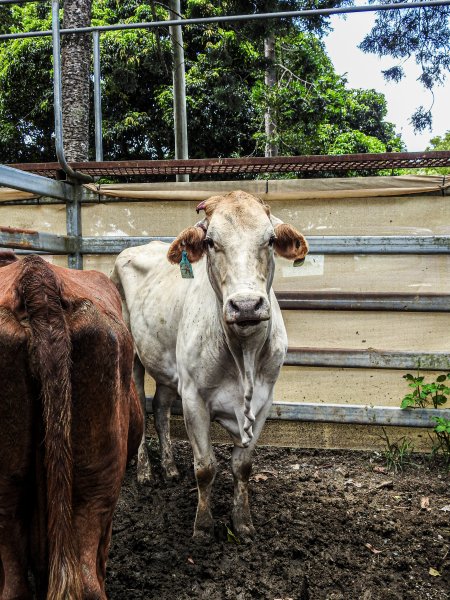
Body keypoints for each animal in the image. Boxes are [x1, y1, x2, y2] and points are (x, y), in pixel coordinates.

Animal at [112, 191, 310, 540]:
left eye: (271, 239)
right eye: (210, 242)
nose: (246, 305)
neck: (243, 354)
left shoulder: (263, 400)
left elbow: (242, 467)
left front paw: (242, 522)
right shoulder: (194, 398)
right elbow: (205, 467)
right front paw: (203, 526)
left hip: (167, 369)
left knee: (160, 409)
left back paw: (169, 467)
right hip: (134, 357)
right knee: (139, 407)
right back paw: (146, 471)